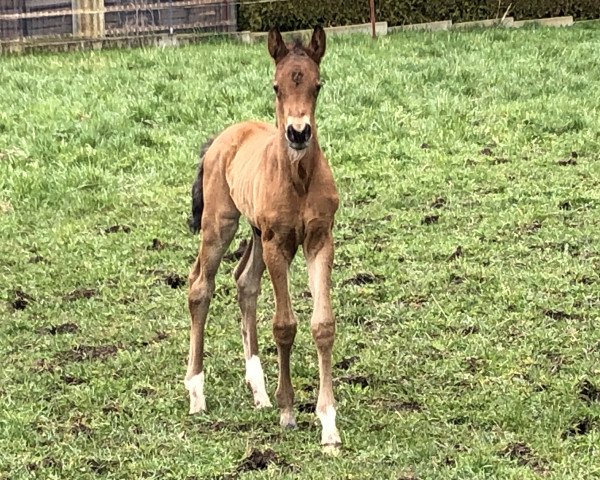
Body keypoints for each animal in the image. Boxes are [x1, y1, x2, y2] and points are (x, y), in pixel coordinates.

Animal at [183, 26, 342, 446]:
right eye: (276, 86)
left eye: (317, 85)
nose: (298, 133)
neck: (298, 179)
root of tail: (222, 138)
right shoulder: (277, 244)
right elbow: (285, 326)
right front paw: (288, 412)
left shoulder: (320, 240)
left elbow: (323, 325)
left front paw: (328, 423)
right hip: (221, 224)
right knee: (200, 285)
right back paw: (196, 392)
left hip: (254, 231)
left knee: (244, 282)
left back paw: (259, 390)